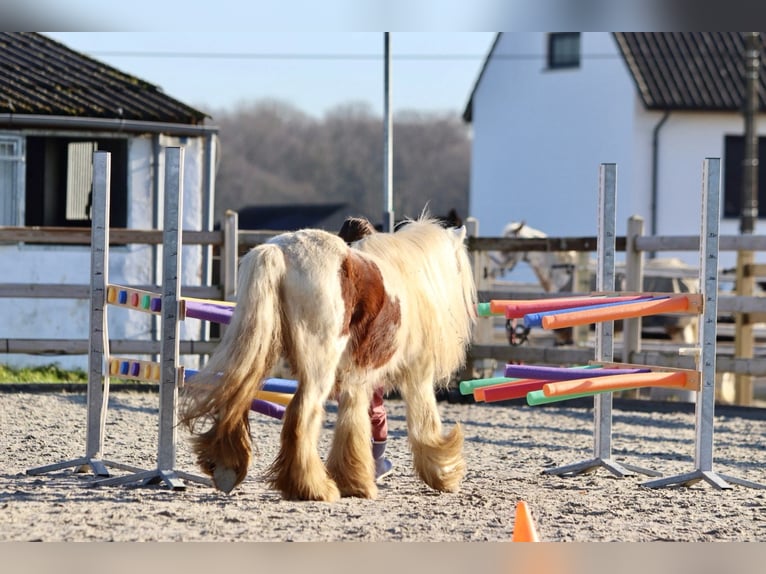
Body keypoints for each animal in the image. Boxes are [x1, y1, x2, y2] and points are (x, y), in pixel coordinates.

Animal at [182, 217, 476, 504]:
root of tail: (280, 250)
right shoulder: (418, 374)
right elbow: (424, 422)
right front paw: (443, 473)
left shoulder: (356, 378)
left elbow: (352, 422)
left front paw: (353, 482)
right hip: (317, 369)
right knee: (301, 415)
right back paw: (312, 487)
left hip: (258, 347)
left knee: (236, 396)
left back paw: (227, 469)